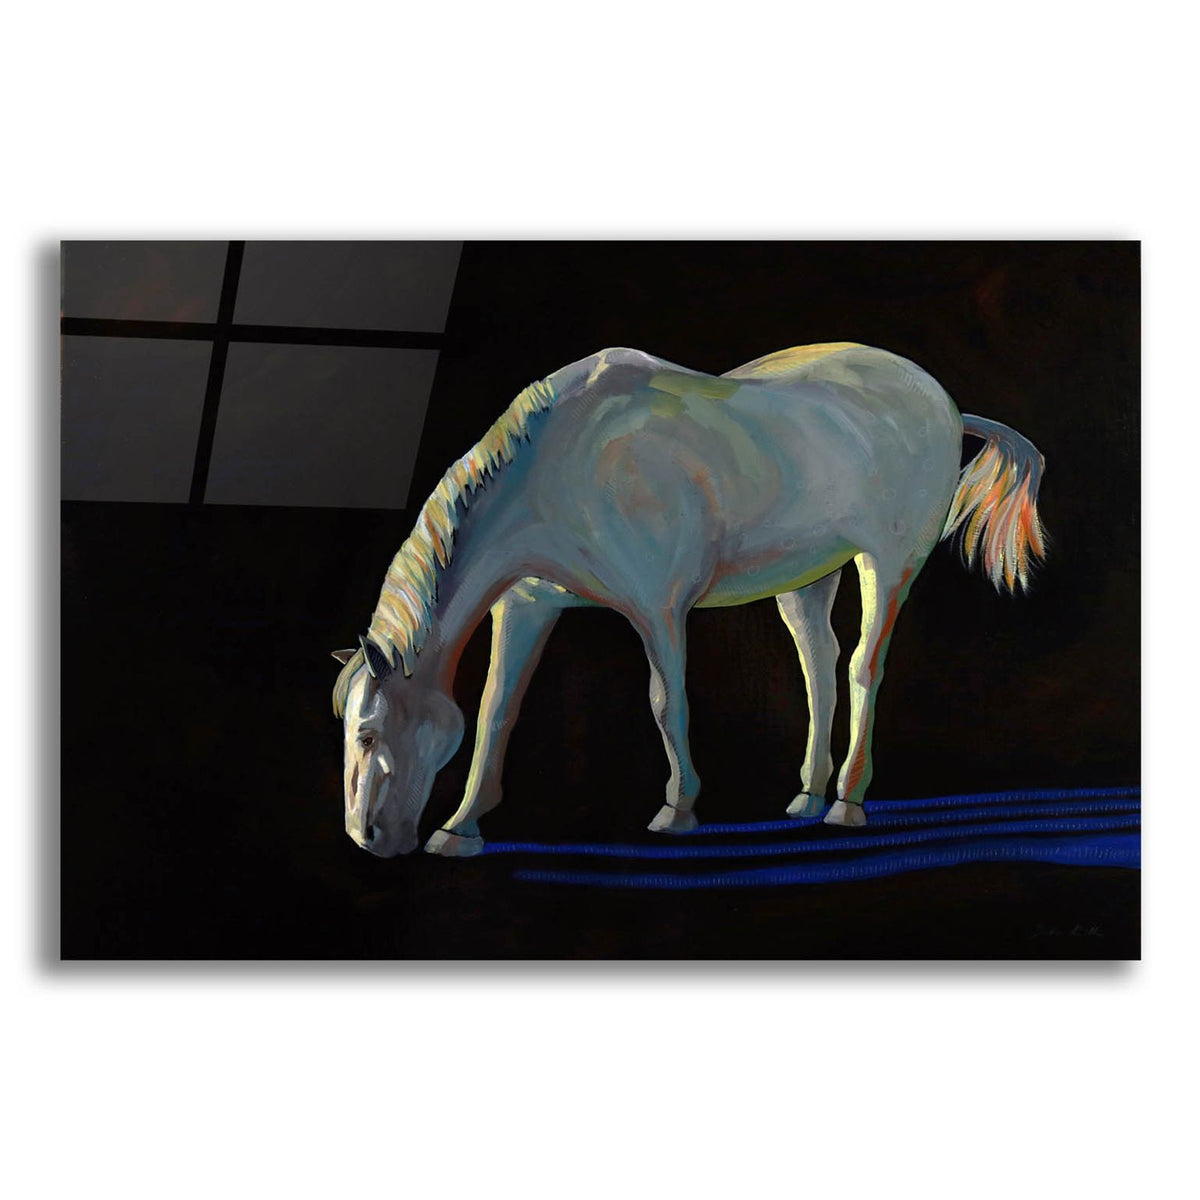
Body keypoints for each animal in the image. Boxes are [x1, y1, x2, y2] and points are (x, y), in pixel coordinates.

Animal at [331, 343, 1047, 857]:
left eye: (367, 733)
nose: (367, 838)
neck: (562, 464)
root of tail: (945, 403)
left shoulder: (658, 609)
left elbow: (664, 701)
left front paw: (677, 810)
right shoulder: (527, 608)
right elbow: (495, 711)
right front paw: (461, 827)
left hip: (887, 566)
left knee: (863, 667)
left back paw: (847, 801)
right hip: (807, 577)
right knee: (819, 663)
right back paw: (809, 795)